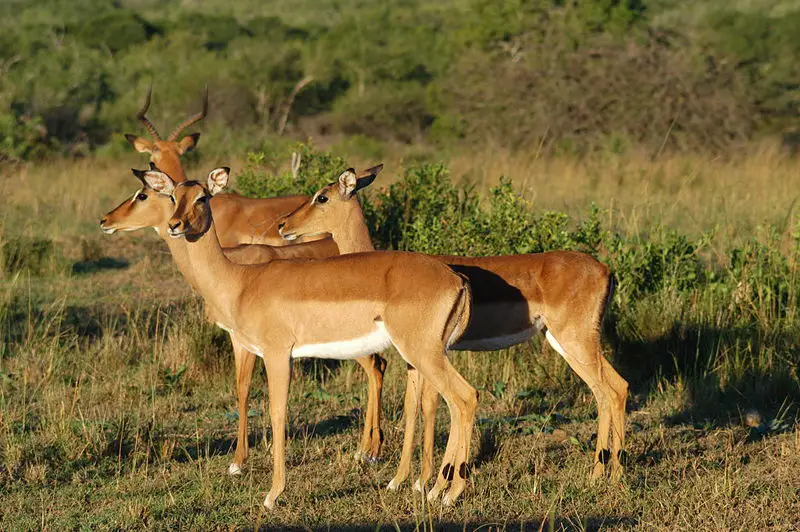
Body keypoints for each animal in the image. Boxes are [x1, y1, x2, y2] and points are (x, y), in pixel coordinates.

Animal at [100, 165, 388, 473]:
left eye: (142, 195)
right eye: (173, 196)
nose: (105, 220)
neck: (234, 275)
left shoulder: (247, 342)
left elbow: (246, 388)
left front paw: (239, 461)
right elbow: (242, 387)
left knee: (376, 367)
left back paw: (370, 451)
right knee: (379, 366)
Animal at [137, 166, 477, 507]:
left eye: (203, 197)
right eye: (173, 197)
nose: (175, 225)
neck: (241, 281)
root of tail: (457, 279)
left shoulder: (276, 354)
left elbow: (277, 413)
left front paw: (272, 494)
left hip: (423, 354)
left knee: (465, 397)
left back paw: (448, 493)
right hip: (425, 356)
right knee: (447, 403)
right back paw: (432, 488)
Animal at [277, 168, 629, 489]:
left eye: (322, 197)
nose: (283, 225)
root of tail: (606, 270)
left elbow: (430, 406)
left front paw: (422, 482)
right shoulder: (414, 362)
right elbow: (412, 408)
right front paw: (402, 480)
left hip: (574, 341)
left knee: (608, 391)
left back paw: (601, 475)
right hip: (571, 342)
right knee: (616, 388)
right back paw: (611, 475)